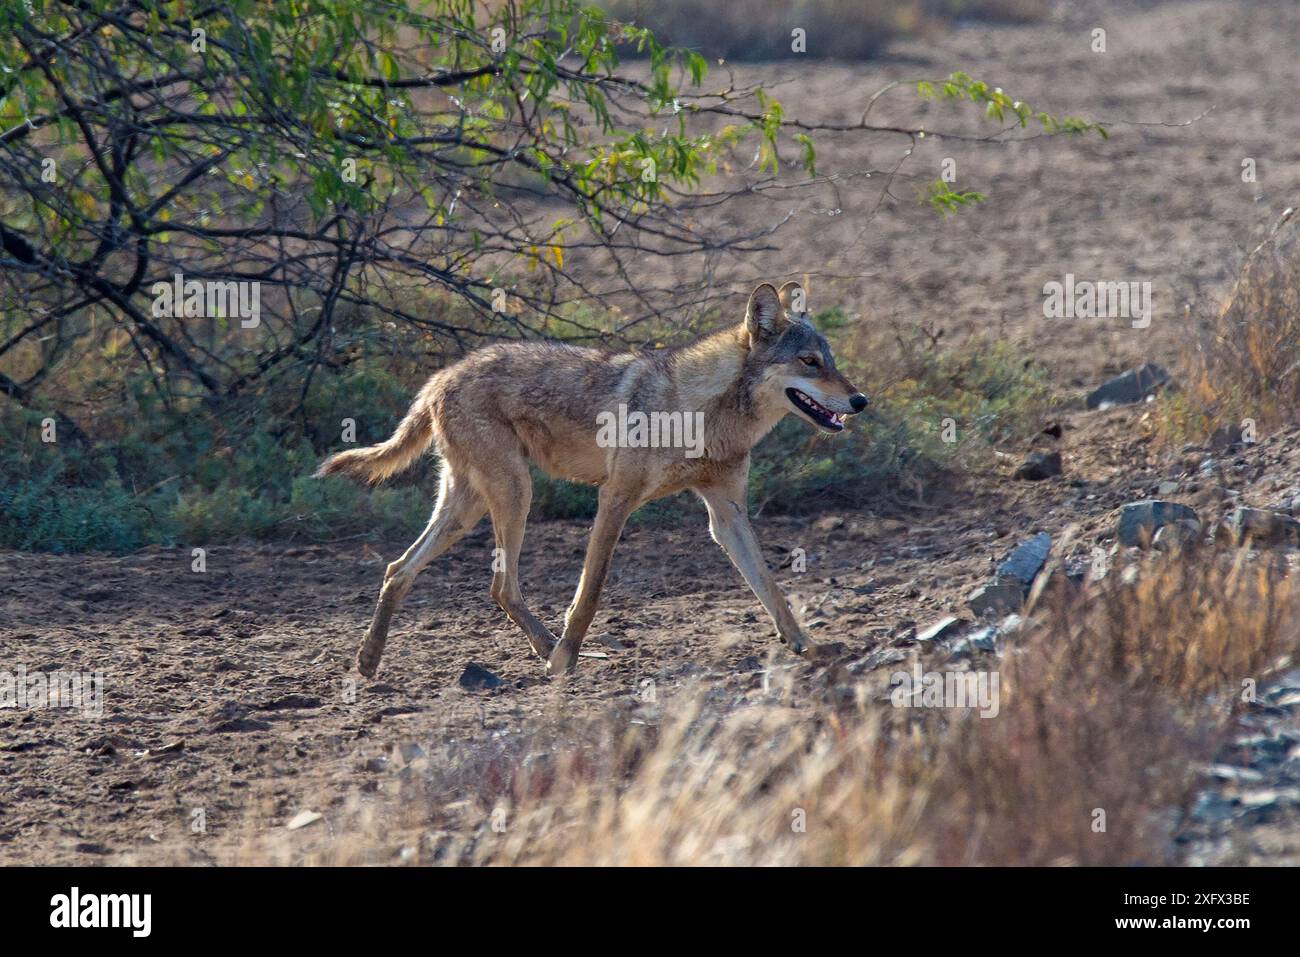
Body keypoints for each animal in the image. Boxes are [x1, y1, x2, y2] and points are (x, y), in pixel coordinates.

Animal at [314, 280, 868, 676]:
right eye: (809, 362)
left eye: (831, 362)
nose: (860, 400)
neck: (701, 412)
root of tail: (438, 377)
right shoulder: (614, 499)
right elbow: (590, 594)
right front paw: (567, 655)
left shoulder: (726, 513)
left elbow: (773, 591)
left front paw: (810, 647)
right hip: (514, 494)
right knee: (496, 585)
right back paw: (548, 653)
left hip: (468, 508)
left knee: (400, 570)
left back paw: (368, 662)